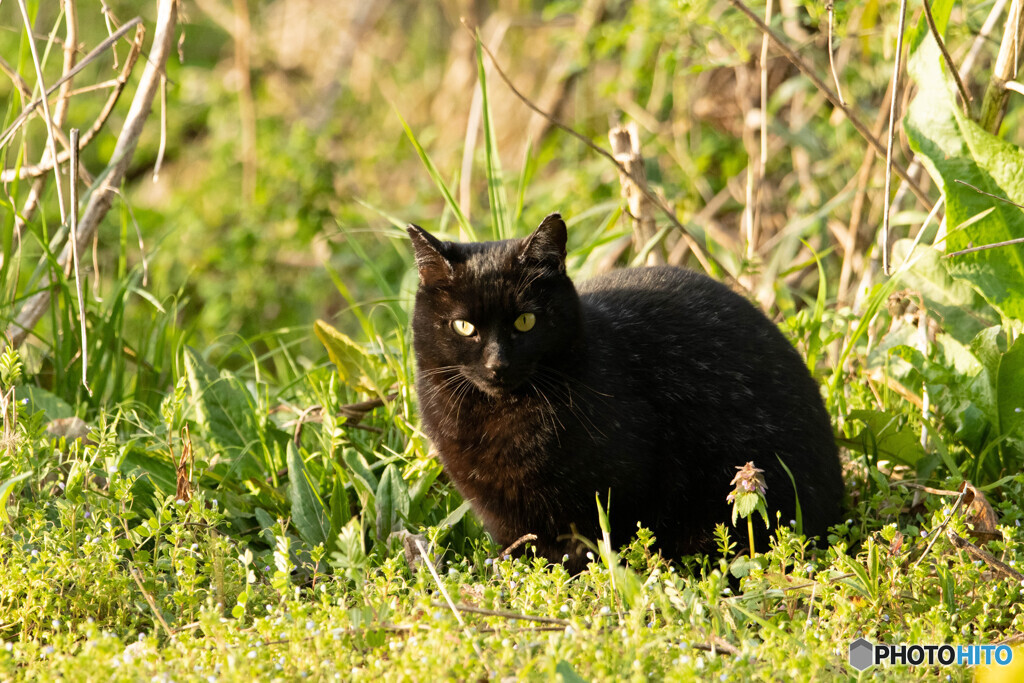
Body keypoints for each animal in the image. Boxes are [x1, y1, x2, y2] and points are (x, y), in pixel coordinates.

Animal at [405, 215, 839, 573]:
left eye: (525, 321)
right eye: (463, 326)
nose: (497, 364)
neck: (498, 418)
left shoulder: (614, 500)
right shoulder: (501, 514)